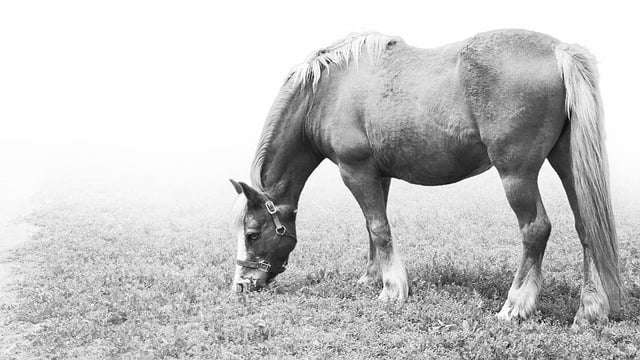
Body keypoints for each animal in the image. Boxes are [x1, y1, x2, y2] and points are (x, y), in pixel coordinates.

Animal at [229, 29, 620, 324]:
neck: (328, 91)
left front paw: (392, 290)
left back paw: (515, 306)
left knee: (536, 230)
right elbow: (374, 229)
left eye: (252, 233)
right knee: (586, 226)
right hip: (568, 164)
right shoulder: (377, 174)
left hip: (516, 174)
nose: (242, 285)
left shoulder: (354, 170)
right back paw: (589, 310)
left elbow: (378, 228)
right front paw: (372, 278)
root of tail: (559, 50)